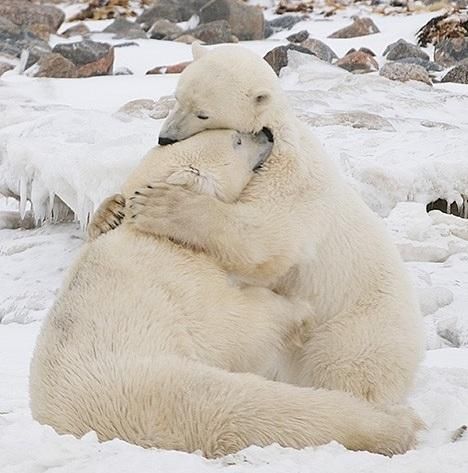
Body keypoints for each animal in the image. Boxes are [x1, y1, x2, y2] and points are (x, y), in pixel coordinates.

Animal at [31, 129, 422, 458]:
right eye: (236, 140)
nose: (266, 133)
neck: (145, 236)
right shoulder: (180, 277)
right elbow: (233, 324)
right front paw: (296, 311)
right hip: (164, 390)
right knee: (258, 408)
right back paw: (395, 425)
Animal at [130, 44, 426, 404]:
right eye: (177, 97)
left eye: (203, 113)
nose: (165, 138)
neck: (273, 132)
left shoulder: (289, 177)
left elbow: (266, 239)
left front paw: (161, 205)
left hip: (357, 329)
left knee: (345, 368)